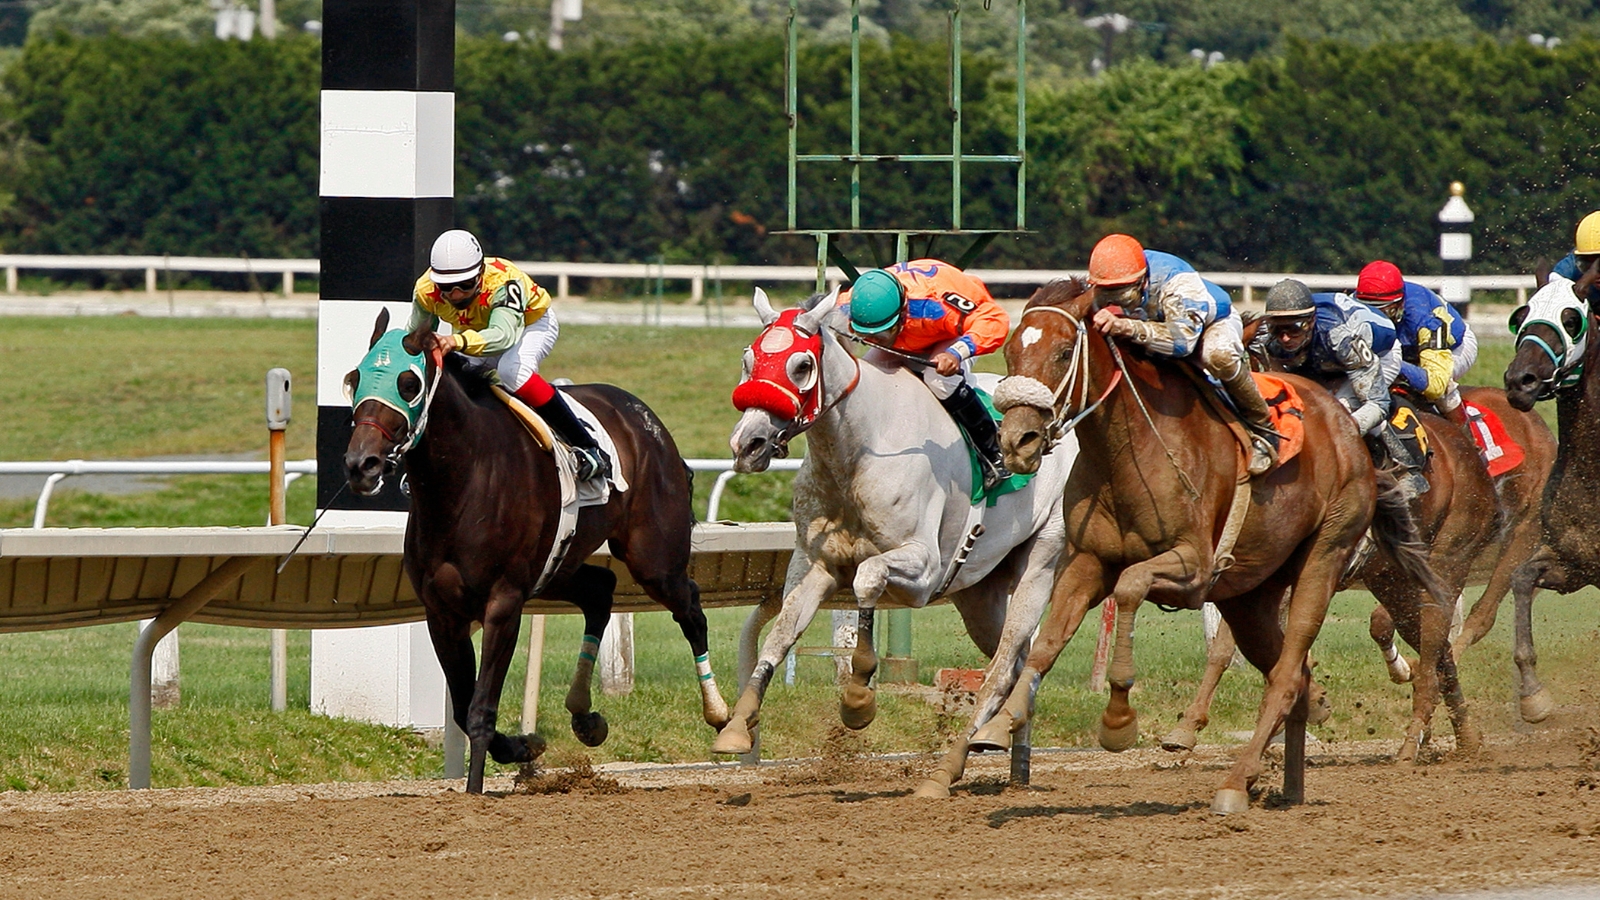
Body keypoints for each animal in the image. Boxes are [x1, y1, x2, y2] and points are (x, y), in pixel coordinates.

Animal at [342, 309, 729, 793]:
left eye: (409, 383)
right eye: (355, 378)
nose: (361, 465)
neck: (463, 481)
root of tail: (646, 420)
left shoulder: (503, 602)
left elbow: (480, 708)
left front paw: (475, 789)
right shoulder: (441, 611)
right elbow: (462, 707)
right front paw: (523, 746)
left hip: (653, 559)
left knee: (690, 608)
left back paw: (723, 716)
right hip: (557, 566)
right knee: (600, 589)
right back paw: (585, 716)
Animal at [715, 288, 1078, 774]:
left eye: (802, 365)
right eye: (748, 358)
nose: (747, 444)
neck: (858, 450)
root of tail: (1057, 428)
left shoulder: (924, 571)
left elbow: (867, 577)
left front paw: (858, 697)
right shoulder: (816, 564)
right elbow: (782, 629)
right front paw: (739, 723)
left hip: (1038, 563)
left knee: (1007, 663)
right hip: (978, 594)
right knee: (1016, 661)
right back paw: (1011, 748)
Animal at [925, 278, 1447, 814]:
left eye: (1065, 351)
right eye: (1011, 351)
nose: (1018, 441)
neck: (1131, 451)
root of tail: (1349, 429)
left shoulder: (1193, 566)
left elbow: (1131, 587)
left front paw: (1118, 721)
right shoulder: (1088, 562)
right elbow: (1043, 645)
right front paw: (998, 726)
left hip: (1323, 559)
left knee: (1286, 675)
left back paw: (1236, 783)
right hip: (1251, 595)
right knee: (1292, 674)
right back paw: (1285, 783)